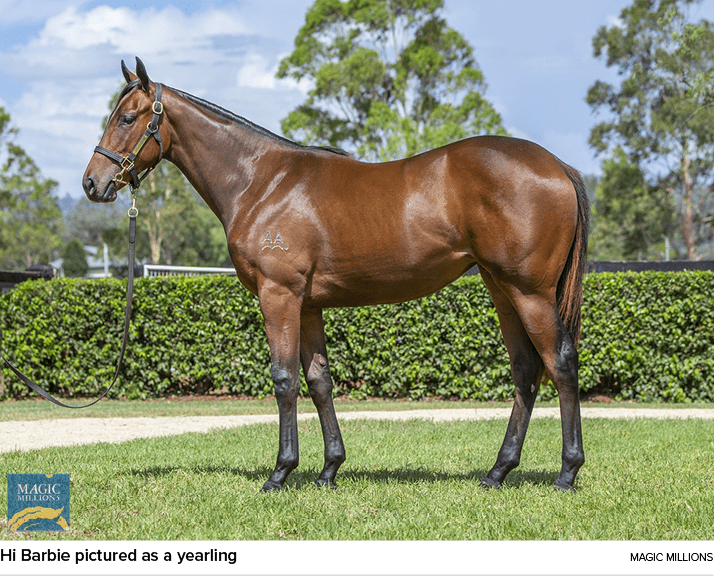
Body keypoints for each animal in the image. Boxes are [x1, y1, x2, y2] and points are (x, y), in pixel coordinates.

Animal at [82, 58, 584, 490]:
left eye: (127, 118)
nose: (92, 183)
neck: (261, 182)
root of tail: (557, 165)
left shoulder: (278, 295)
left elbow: (284, 379)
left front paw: (280, 473)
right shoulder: (308, 306)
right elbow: (319, 381)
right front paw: (329, 470)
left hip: (530, 292)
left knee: (560, 362)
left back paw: (567, 472)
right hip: (502, 290)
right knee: (525, 370)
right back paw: (498, 471)